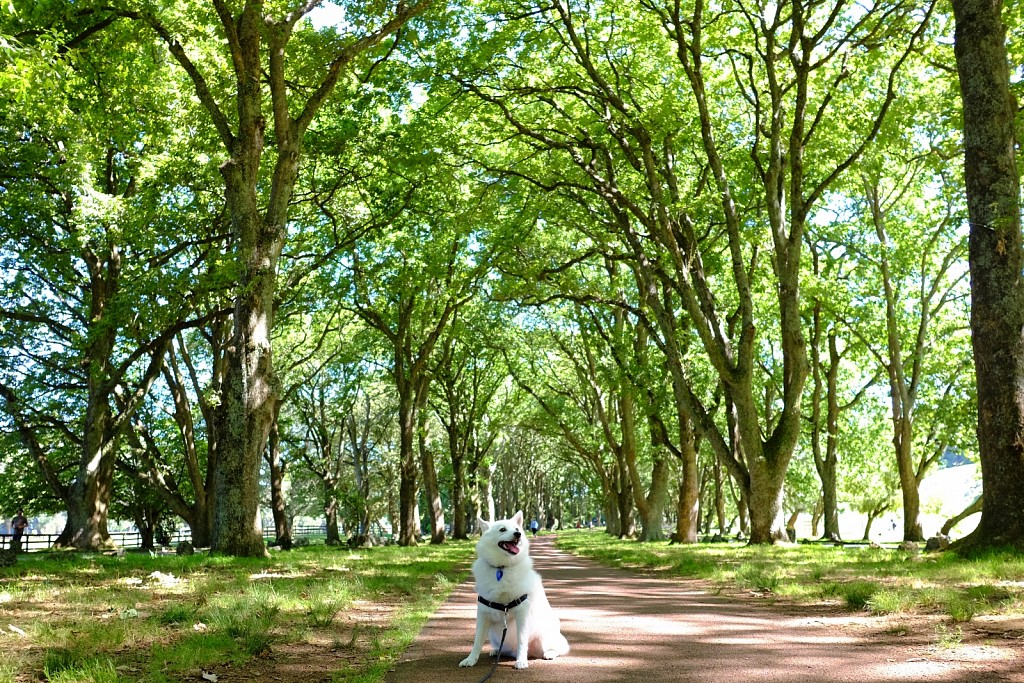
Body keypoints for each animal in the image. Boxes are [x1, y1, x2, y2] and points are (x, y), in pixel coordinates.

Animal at [456, 509, 569, 671]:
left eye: (516, 529)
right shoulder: (483, 613)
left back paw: (549, 653)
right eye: (502, 529)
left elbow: (521, 640)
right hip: (494, 635)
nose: (518, 534)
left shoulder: (522, 613)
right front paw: (470, 660)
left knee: (558, 649)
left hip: (545, 636)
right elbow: (477, 641)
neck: (502, 568)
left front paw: (521, 661)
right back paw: (496, 651)